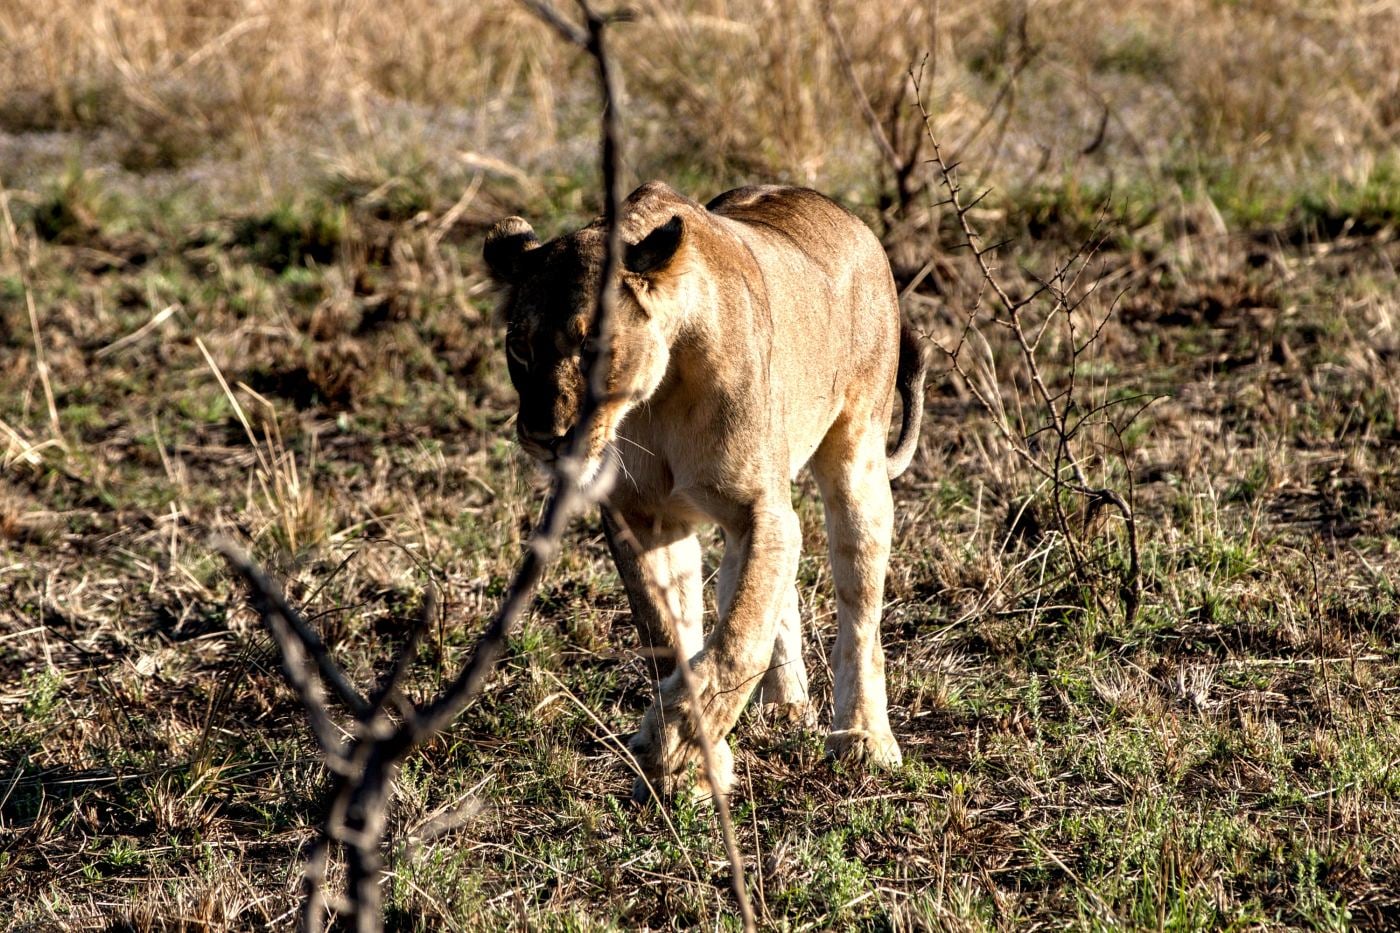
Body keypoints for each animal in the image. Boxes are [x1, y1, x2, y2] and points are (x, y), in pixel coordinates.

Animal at [483, 181, 928, 799]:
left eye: (592, 347)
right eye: (520, 349)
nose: (545, 438)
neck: (658, 396)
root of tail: (846, 216)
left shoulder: (759, 509)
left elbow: (738, 642)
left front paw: (672, 746)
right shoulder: (644, 518)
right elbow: (672, 637)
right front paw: (694, 761)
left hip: (858, 461)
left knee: (858, 613)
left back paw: (864, 739)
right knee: (769, 589)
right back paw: (785, 704)